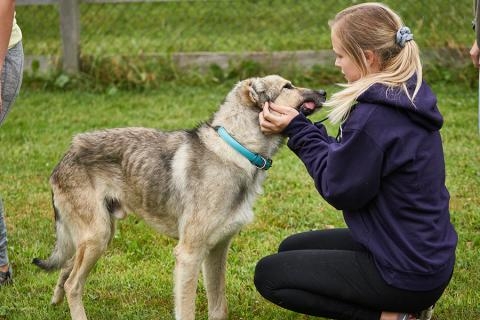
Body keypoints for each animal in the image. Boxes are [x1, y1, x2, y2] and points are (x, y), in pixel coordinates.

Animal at [32, 75, 326, 320]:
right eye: (287, 86)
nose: (324, 91)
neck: (237, 148)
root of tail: (67, 155)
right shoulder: (189, 255)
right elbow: (186, 310)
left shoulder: (217, 251)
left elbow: (219, 308)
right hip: (98, 236)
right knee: (73, 283)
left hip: (95, 236)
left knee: (66, 269)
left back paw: (55, 302)